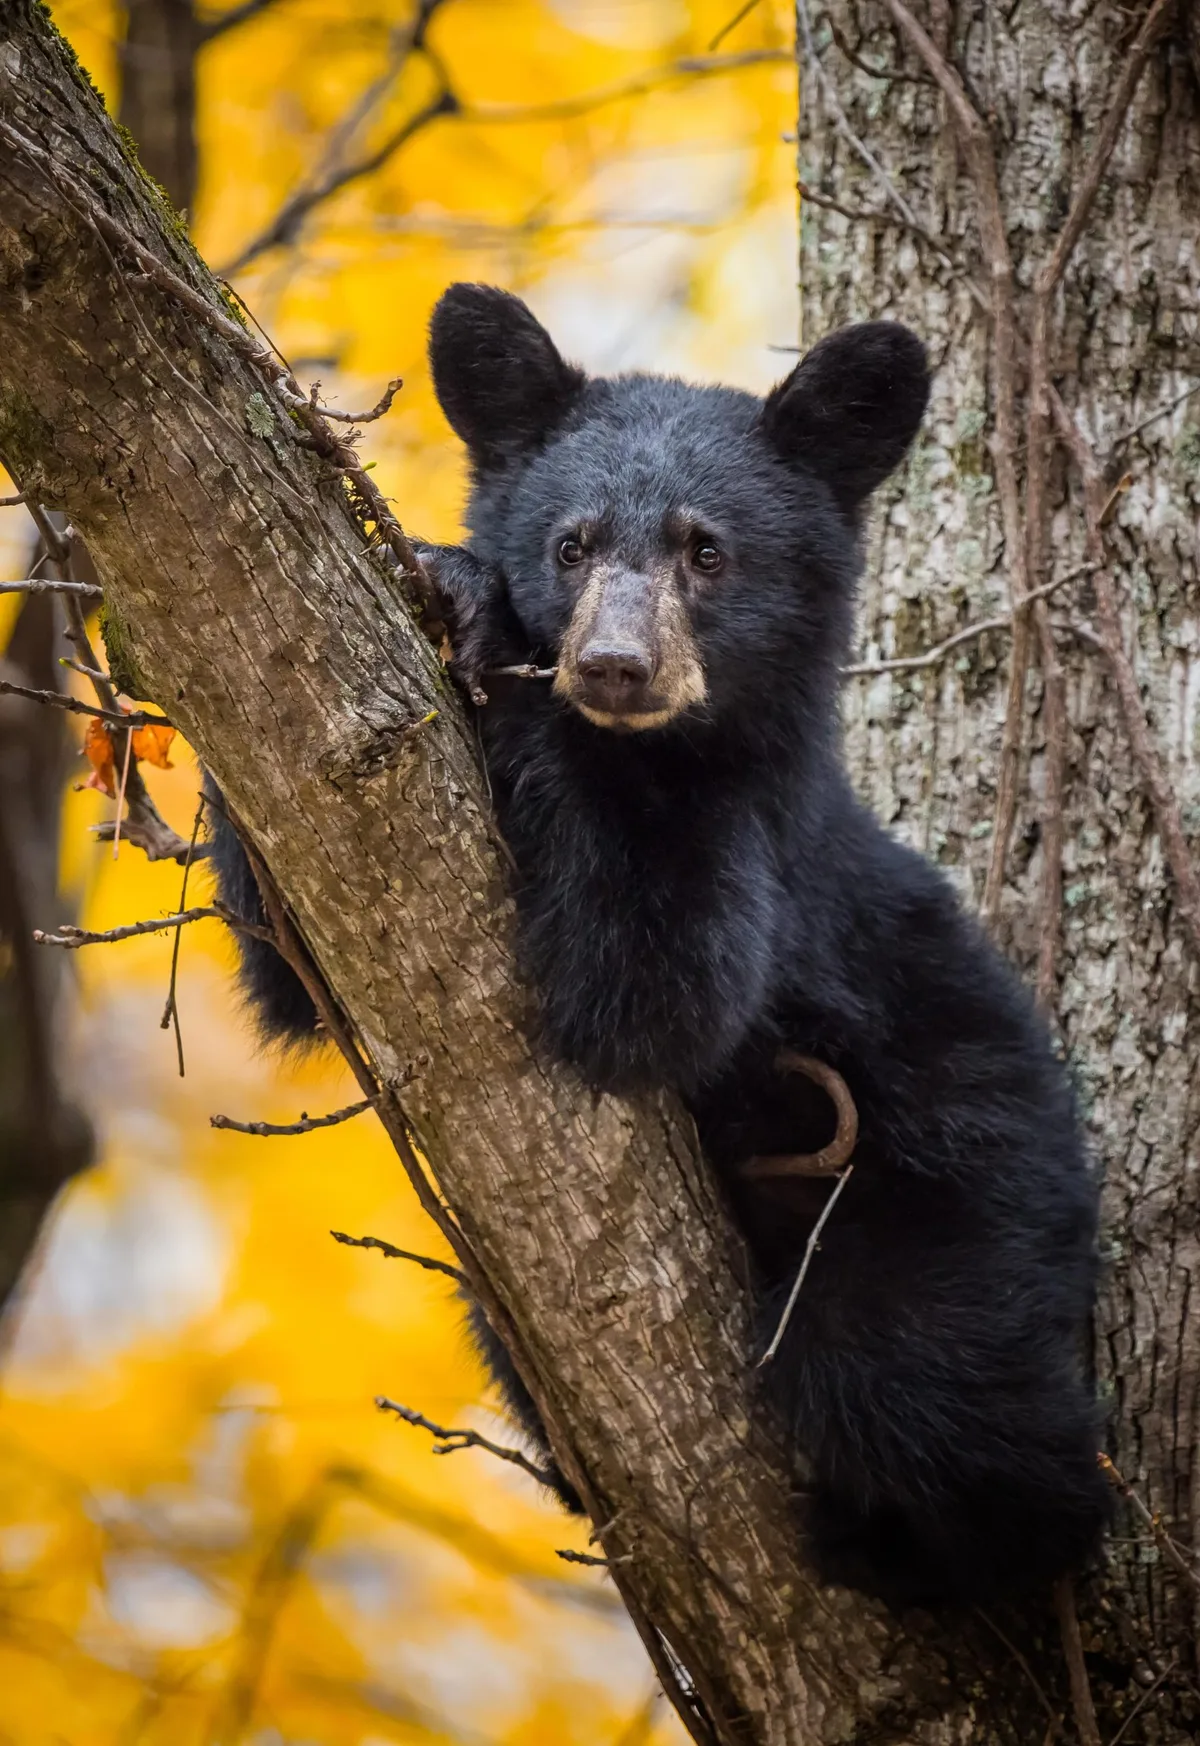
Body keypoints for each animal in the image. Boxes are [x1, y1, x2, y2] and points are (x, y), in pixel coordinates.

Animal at [206, 283, 1109, 1607]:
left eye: (708, 550)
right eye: (572, 544)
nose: (613, 666)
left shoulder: (763, 854)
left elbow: (654, 991)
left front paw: (503, 655)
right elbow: (296, 958)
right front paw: (451, 580)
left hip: (957, 1213)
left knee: (939, 1403)